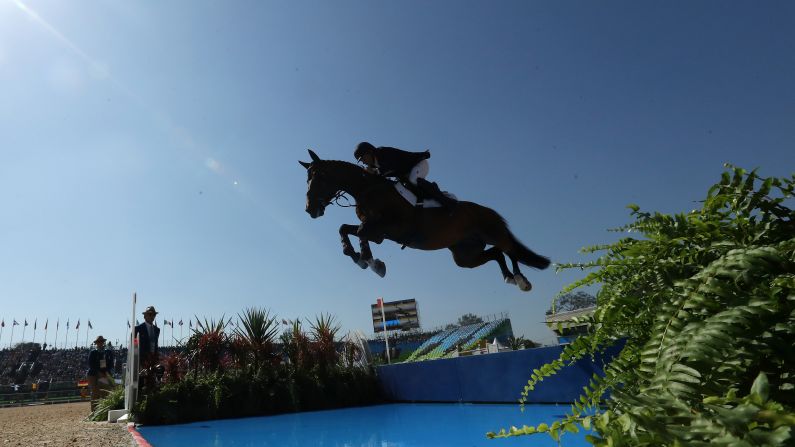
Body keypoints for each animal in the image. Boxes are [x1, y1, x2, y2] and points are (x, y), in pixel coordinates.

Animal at [302, 149, 552, 292]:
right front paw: (361, 259)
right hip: (465, 256)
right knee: (496, 254)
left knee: (508, 250)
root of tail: (488, 210)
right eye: (307, 178)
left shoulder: (390, 228)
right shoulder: (379, 233)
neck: (367, 190)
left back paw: (521, 280)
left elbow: (361, 231)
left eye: (319, 177)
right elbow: (345, 229)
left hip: (492, 233)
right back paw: (509, 278)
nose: (310, 210)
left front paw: (372, 263)